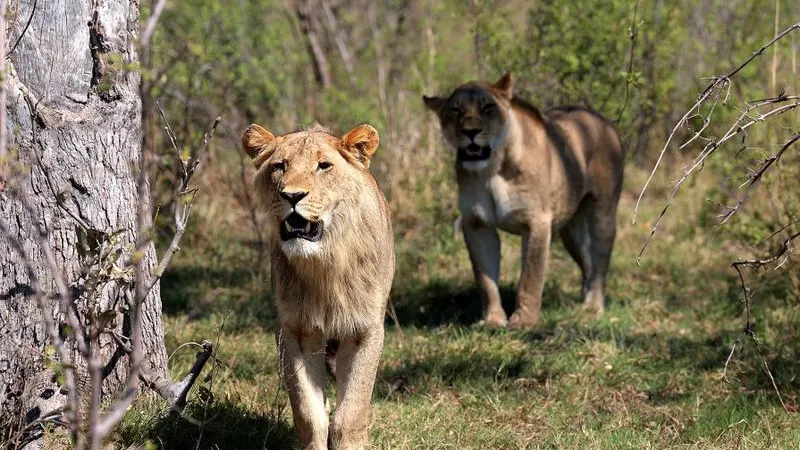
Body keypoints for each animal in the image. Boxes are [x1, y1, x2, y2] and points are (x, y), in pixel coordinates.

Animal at [242, 122, 394, 450]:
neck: (324, 264)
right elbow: (308, 413)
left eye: (323, 166)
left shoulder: (365, 330)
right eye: (279, 166)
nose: (292, 195)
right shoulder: (294, 330)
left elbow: (351, 414)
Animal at [423, 73, 624, 328]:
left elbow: (530, 276)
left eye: (487, 107)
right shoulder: (477, 224)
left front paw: (524, 322)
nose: (471, 132)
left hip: (602, 212)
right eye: (456, 110)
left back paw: (593, 306)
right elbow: (485, 279)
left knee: (600, 261)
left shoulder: (536, 221)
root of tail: (605, 120)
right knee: (587, 262)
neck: (492, 169)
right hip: (571, 231)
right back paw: (583, 298)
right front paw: (493, 320)